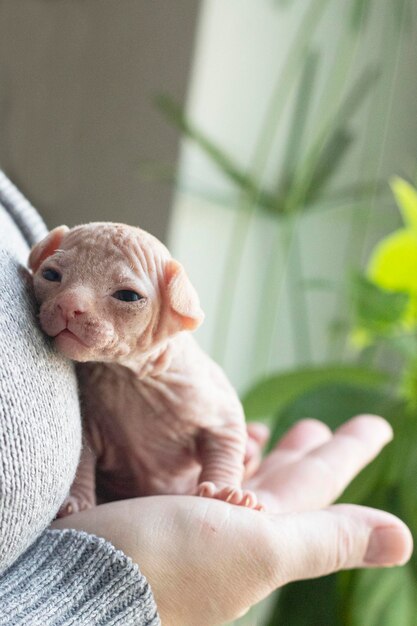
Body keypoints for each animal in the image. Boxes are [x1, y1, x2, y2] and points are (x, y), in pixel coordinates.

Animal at [30, 222, 262, 516]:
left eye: (128, 296)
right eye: (50, 275)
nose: (68, 305)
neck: (126, 375)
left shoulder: (215, 404)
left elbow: (227, 440)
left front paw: (224, 492)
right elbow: (81, 461)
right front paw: (76, 501)